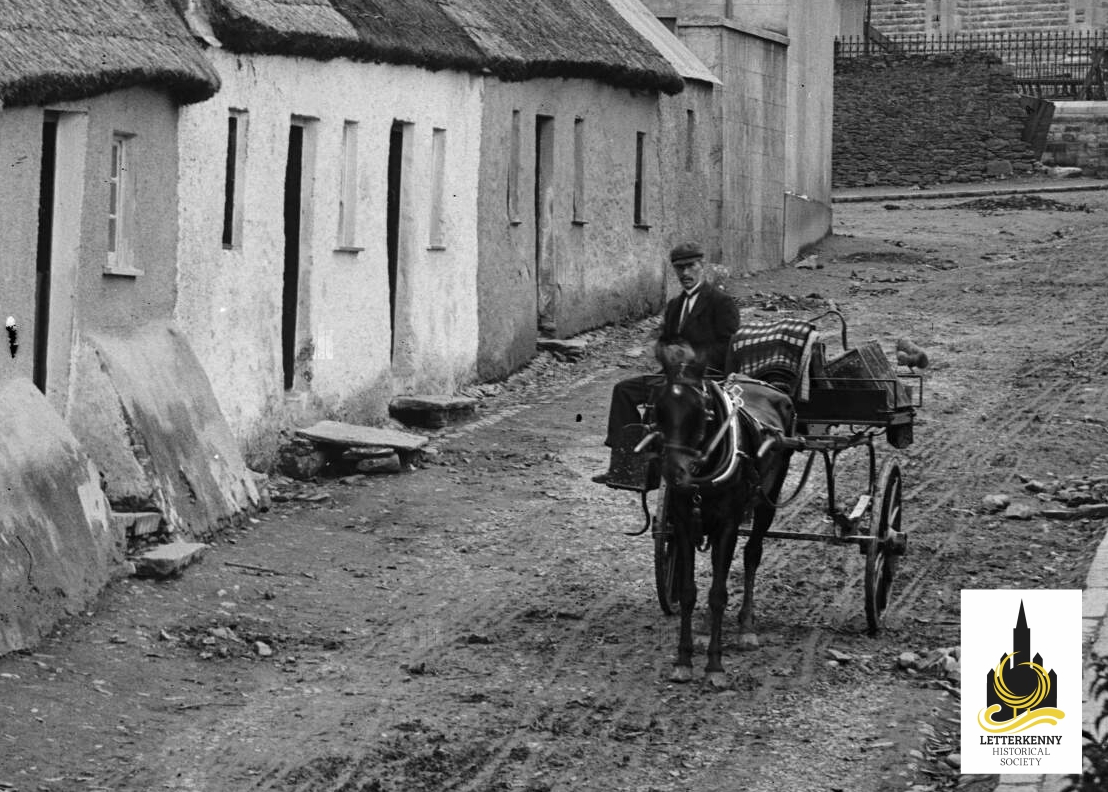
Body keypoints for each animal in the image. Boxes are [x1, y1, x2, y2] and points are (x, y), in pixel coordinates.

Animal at [642, 341, 797, 686]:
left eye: (701, 412)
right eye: (658, 409)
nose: (674, 472)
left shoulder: (727, 525)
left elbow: (718, 594)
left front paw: (714, 665)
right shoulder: (684, 523)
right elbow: (689, 592)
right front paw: (684, 659)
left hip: (767, 498)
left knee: (752, 554)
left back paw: (746, 627)